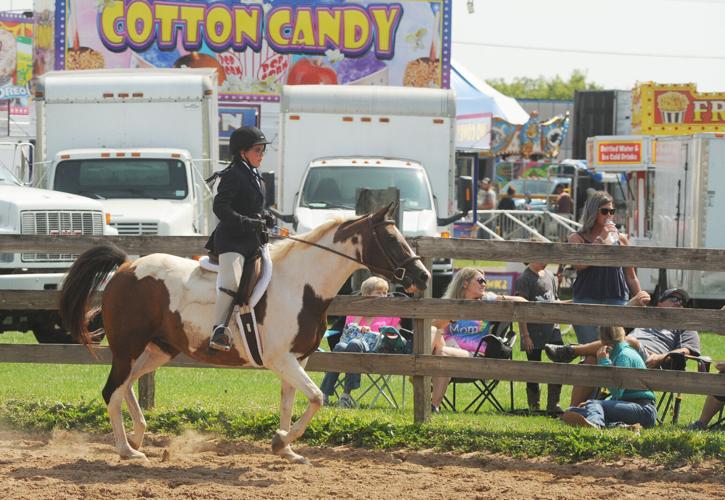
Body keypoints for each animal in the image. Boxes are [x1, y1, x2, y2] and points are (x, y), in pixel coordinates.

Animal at [60, 205, 430, 462]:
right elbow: (316, 397)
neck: (301, 285)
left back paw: (137, 437)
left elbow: (290, 402)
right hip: (129, 348)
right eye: (392, 239)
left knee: (126, 386)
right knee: (112, 391)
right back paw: (127, 450)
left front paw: (285, 448)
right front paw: (281, 441)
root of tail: (126, 266)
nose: (423, 276)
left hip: (157, 350)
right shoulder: (282, 360)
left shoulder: (296, 360)